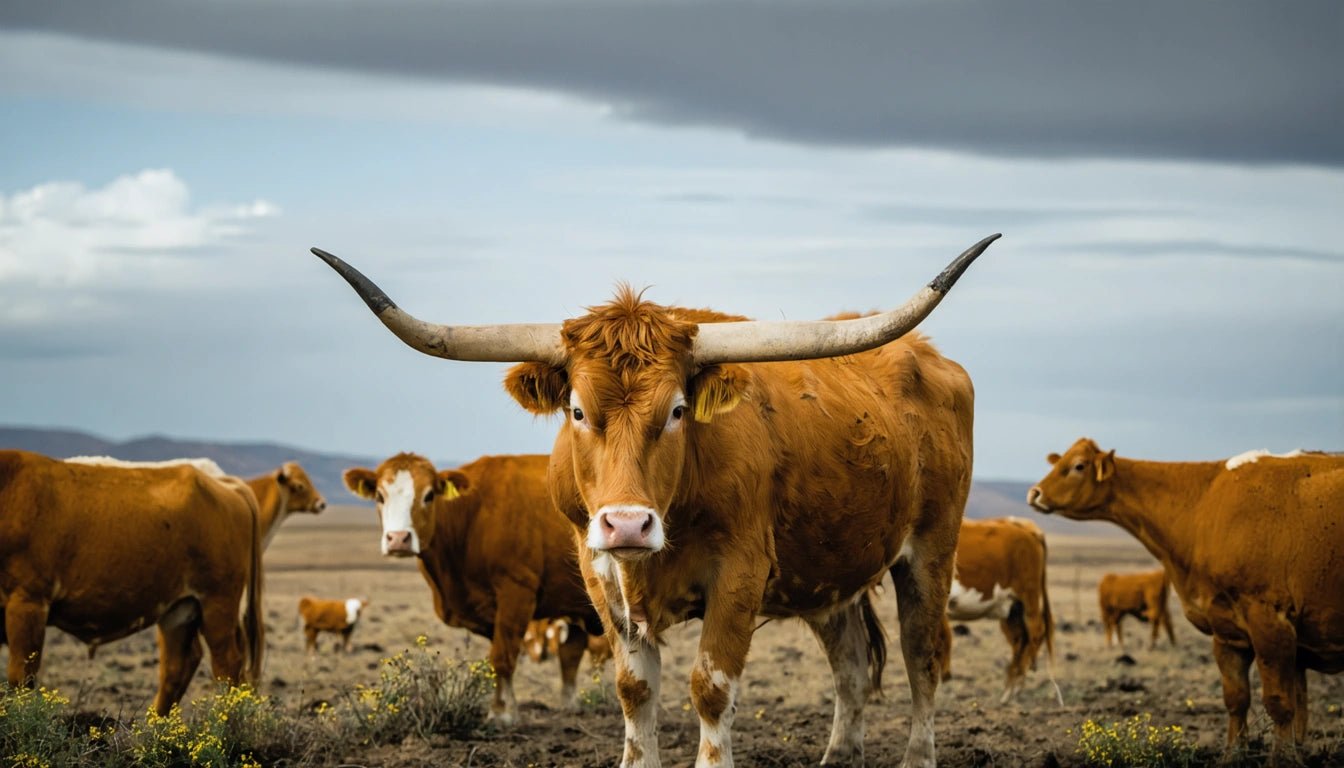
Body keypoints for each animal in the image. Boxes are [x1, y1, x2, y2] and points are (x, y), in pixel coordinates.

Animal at [0, 449, 265, 716]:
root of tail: (227, 485)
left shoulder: (27, 602)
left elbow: (20, 678)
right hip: (180, 609)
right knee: (176, 666)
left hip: (217, 603)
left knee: (227, 666)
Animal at [342, 453, 603, 723]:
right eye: (379, 496)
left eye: (429, 495)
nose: (398, 539)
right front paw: (509, 706)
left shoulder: (516, 592)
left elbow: (503, 656)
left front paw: (501, 713)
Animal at [941, 517, 1057, 704]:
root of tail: (1026, 526)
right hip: (1013, 609)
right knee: (1020, 639)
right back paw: (1009, 690)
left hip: (1029, 595)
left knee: (1036, 630)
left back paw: (1018, 684)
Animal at [1027, 438, 1344, 763]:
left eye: (1078, 465)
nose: (1034, 493)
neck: (1204, 505)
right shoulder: (1226, 629)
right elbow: (1237, 699)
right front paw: (1232, 756)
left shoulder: (1271, 624)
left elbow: (1281, 704)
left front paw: (1282, 759)